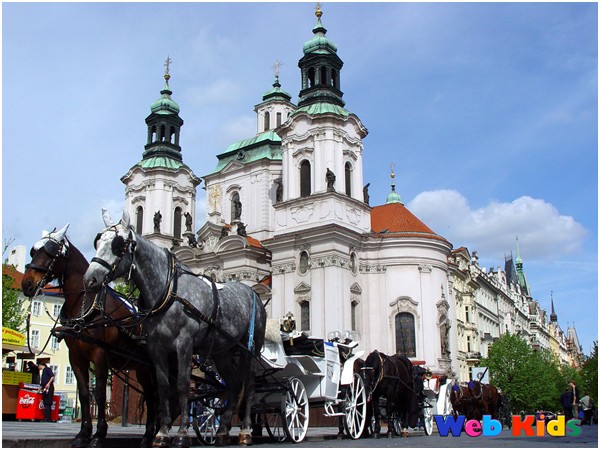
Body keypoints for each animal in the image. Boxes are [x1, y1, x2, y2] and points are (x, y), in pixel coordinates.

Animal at [21, 224, 158, 447]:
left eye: (50, 252)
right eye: (34, 251)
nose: (27, 284)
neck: (85, 303)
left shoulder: (99, 355)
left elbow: (100, 393)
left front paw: (99, 435)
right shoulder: (76, 358)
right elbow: (85, 394)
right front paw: (83, 433)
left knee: (155, 395)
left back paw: (152, 434)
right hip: (141, 368)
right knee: (152, 395)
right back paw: (151, 434)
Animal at [83, 209, 267, 448]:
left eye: (119, 244)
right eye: (97, 241)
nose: (90, 279)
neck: (169, 290)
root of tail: (253, 293)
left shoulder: (184, 345)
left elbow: (182, 385)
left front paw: (181, 434)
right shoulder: (157, 348)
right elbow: (163, 388)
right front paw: (161, 434)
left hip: (250, 349)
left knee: (250, 385)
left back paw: (245, 431)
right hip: (222, 352)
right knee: (234, 385)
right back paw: (222, 432)